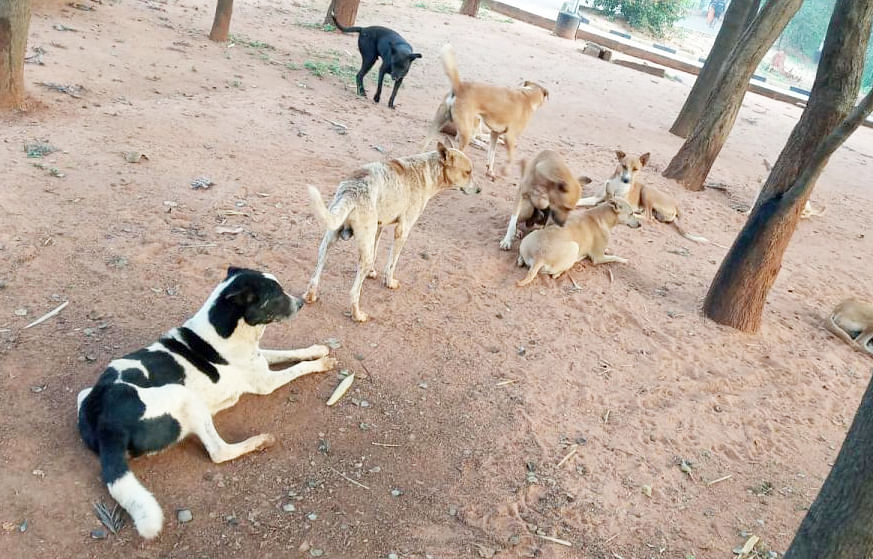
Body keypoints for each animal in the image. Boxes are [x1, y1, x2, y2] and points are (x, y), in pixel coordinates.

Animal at [76, 270, 336, 540]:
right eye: (276, 295)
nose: (301, 303)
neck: (226, 329)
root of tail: (106, 426)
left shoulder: (260, 358)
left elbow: (288, 352)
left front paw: (317, 350)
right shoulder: (266, 382)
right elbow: (298, 367)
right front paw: (321, 363)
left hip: (84, 395)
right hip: (185, 396)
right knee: (219, 452)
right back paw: (259, 441)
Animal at [304, 142, 474, 322]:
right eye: (468, 172)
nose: (478, 190)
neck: (426, 171)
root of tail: (352, 190)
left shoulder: (379, 227)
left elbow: (376, 251)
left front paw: (372, 273)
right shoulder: (402, 230)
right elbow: (392, 264)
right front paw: (389, 282)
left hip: (328, 241)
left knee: (315, 276)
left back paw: (310, 296)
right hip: (361, 253)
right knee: (353, 292)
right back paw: (357, 315)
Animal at [426, 44, 548, 179]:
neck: (528, 95)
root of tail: (459, 87)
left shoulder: (495, 133)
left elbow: (492, 153)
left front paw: (490, 170)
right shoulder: (510, 137)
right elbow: (511, 158)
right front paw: (505, 171)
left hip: (436, 126)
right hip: (467, 132)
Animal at [510, 198, 640, 288]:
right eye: (631, 213)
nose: (640, 224)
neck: (601, 216)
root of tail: (539, 258)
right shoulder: (598, 258)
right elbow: (615, 257)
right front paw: (624, 260)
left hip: (533, 235)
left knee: (521, 256)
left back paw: (521, 260)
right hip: (574, 247)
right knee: (555, 274)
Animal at [580, 150, 708, 244]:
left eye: (635, 169)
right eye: (624, 166)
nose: (626, 180)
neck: (618, 184)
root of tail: (676, 205)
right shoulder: (596, 198)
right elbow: (583, 201)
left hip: (647, 190)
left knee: (648, 217)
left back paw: (636, 214)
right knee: (652, 217)